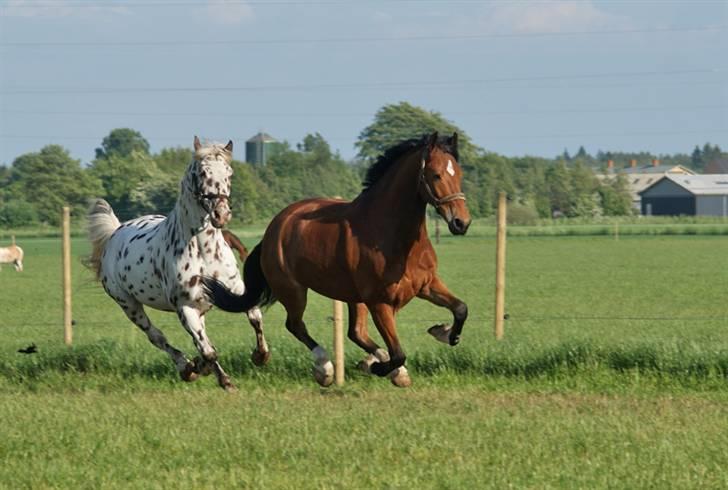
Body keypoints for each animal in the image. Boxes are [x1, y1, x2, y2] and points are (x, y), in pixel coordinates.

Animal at [85, 137, 268, 390]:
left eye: (229, 173)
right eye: (202, 172)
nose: (221, 214)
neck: (204, 252)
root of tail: (116, 232)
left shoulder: (236, 292)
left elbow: (255, 319)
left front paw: (260, 356)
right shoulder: (185, 307)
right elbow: (208, 351)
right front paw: (225, 381)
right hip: (129, 305)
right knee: (158, 337)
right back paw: (187, 368)